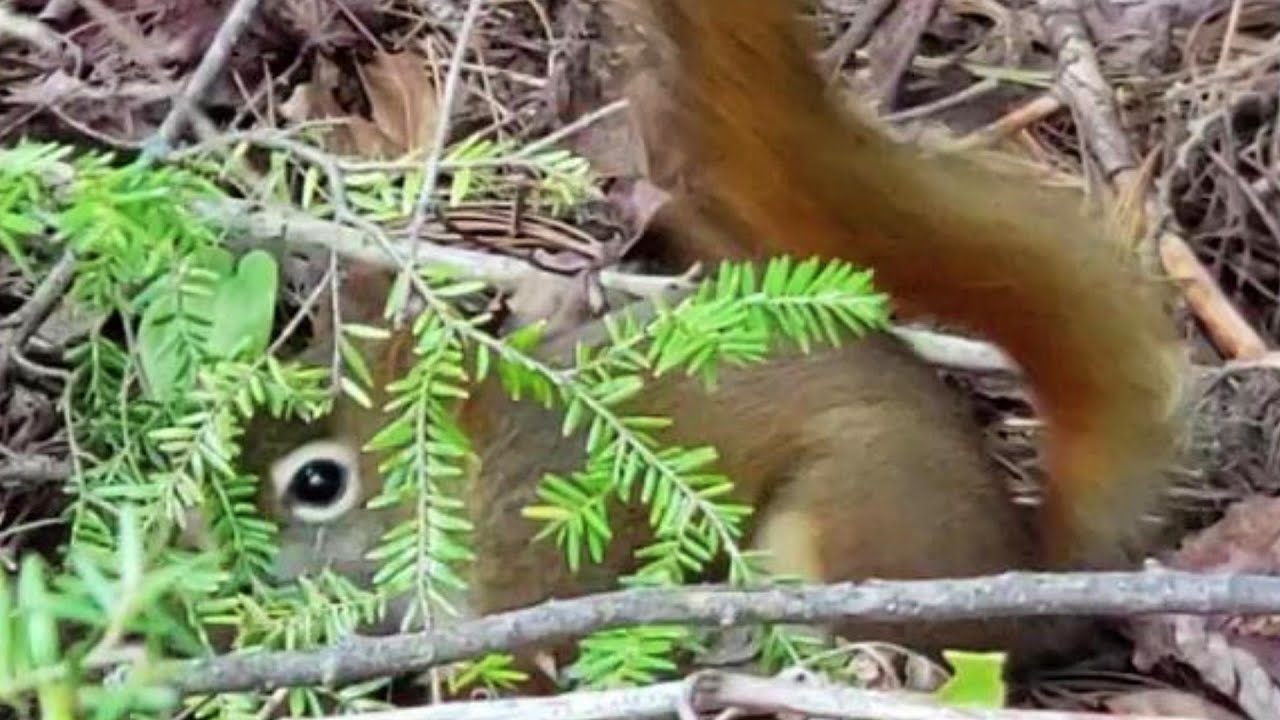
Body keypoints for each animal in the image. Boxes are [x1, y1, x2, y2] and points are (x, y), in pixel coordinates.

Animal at [233, 0, 1185, 679]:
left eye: (317, 483)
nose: (215, 547)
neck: (472, 471)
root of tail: (1029, 572)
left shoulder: (536, 568)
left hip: (841, 531)